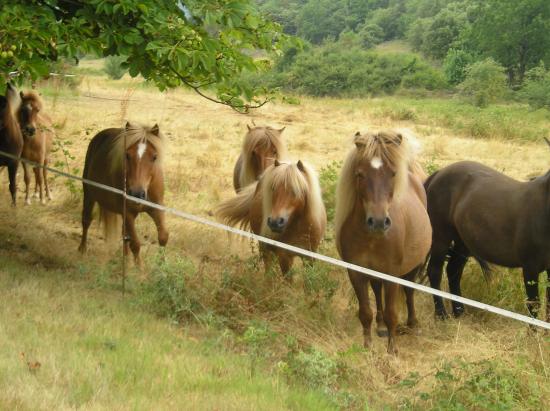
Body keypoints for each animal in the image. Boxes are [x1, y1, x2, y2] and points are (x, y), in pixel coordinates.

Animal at [77, 121, 168, 268]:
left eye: (154, 157)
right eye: (127, 155)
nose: (136, 193)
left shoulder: (156, 208)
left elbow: (163, 236)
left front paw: (162, 265)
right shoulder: (128, 213)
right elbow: (135, 244)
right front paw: (140, 269)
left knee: (124, 234)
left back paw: (125, 259)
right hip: (89, 195)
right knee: (86, 220)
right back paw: (82, 249)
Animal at [336, 130, 436, 354]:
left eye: (392, 174)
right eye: (360, 174)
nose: (379, 222)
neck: (371, 238)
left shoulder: (392, 274)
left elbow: (393, 312)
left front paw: (392, 351)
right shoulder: (356, 272)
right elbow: (365, 311)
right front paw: (367, 347)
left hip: (412, 266)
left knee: (409, 291)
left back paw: (413, 323)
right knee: (376, 289)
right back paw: (380, 325)